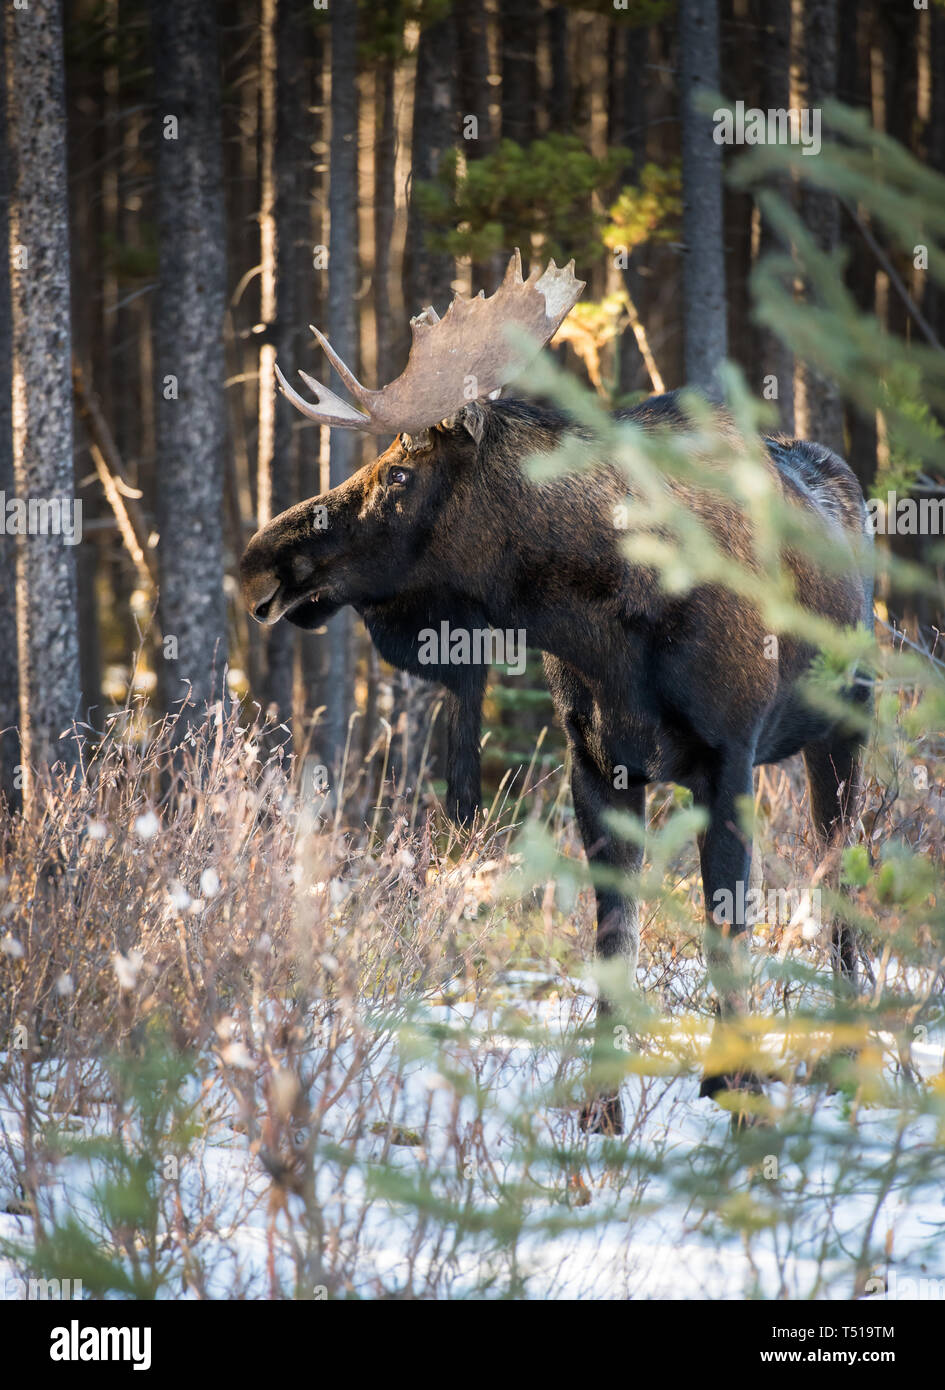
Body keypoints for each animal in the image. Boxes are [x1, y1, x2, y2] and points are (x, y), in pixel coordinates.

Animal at [240, 251, 874, 1132]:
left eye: (398, 471)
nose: (259, 560)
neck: (608, 621)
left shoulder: (729, 755)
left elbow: (726, 922)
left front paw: (738, 1089)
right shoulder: (596, 763)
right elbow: (611, 938)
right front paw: (600, 1108)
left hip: (845, 722)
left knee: (842, 873)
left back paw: (850, 1057)